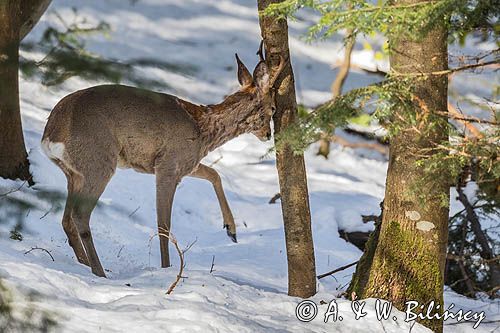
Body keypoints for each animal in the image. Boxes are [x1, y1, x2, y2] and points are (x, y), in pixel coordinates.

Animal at [42, 44, 286, 278]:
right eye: (272, 108)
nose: (268, 135)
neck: (205, 130)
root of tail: (51, 133)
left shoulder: (186, 163)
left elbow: (214, 174)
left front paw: (231, 230)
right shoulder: (169, 163)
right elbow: (164, 225)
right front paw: (167, 269)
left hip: (74, 173)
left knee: (66, 219)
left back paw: (84, 263)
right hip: (98, 162)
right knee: (80, 215)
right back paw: (99, 272)